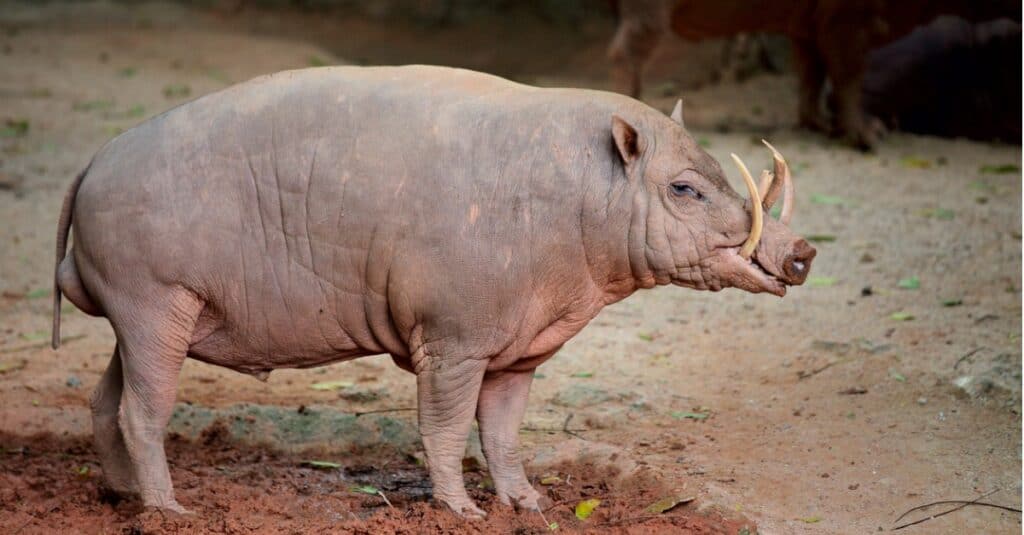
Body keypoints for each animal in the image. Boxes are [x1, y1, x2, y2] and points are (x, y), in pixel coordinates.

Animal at [54, 64, 815, 514]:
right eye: (684, 189)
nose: (802, 253)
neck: (577, 206)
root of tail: (89, 164)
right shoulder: (454, 338)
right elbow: (445, 428)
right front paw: (463, 511)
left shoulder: (517, 351)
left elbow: (503, 433)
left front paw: (527, 505)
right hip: (153, 300)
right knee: (142, 412)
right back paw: (166, 511)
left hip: (138, 316)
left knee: (104, 401)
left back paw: (119, 495)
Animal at [610, 0, 1019, 148]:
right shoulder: (845, 18)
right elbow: (847, 73)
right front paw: (869, 136)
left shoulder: (811, 23)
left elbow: (812, 72)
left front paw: (819, 125)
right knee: (627, 48)